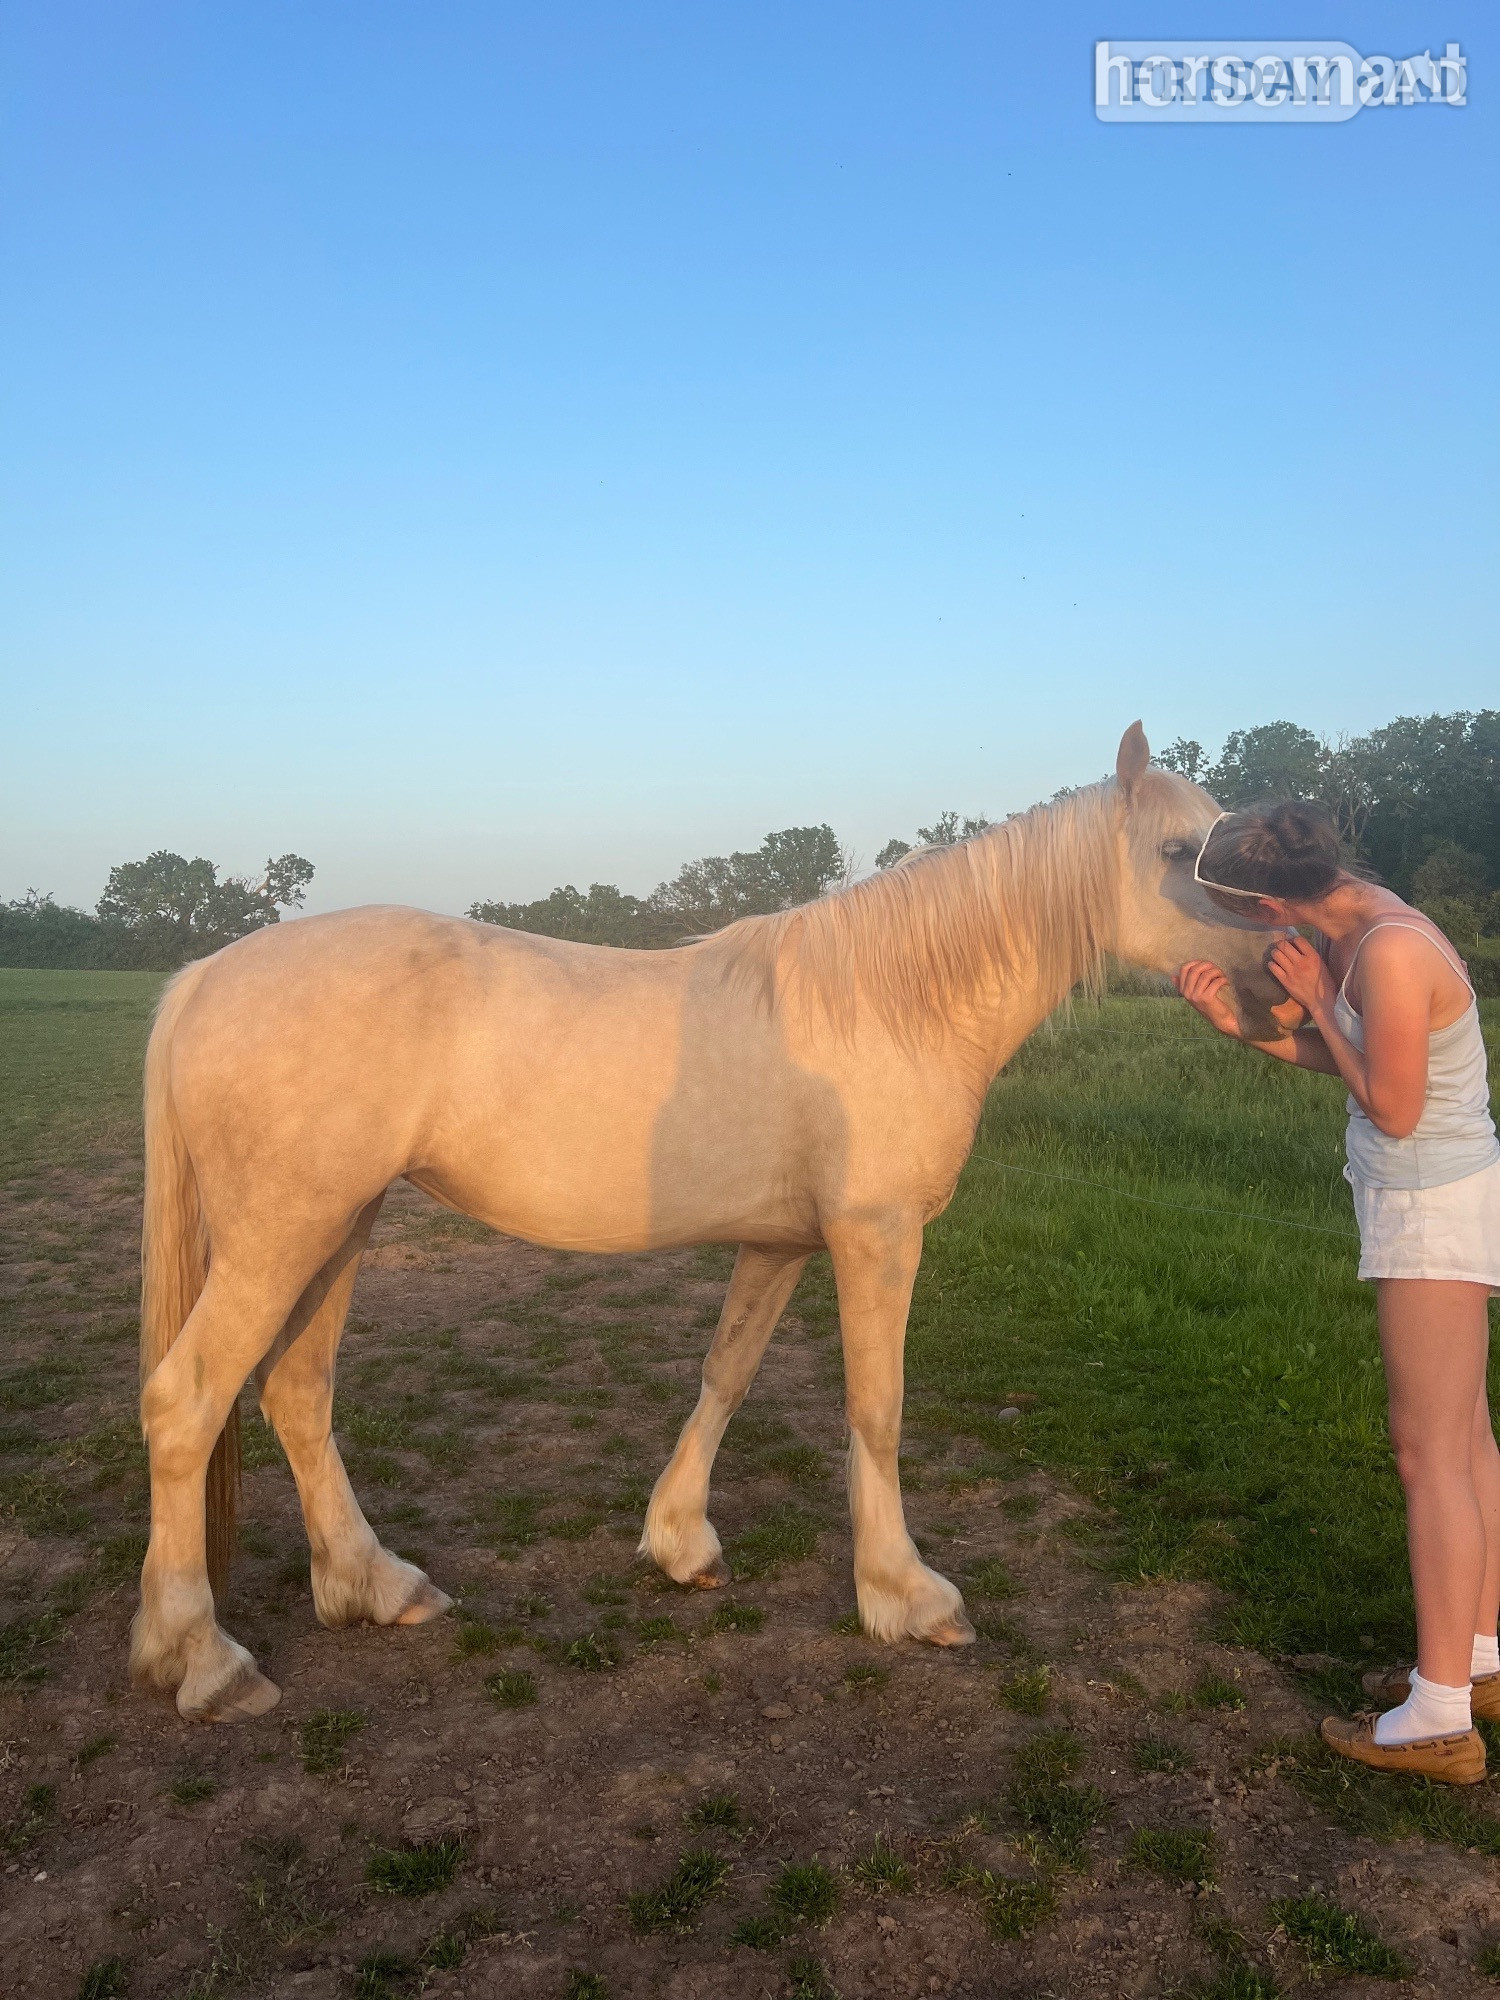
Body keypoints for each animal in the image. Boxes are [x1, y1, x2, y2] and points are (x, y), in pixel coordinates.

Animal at [129, 724, 1290, 1720]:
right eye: (1179, 851)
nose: (1282, 979)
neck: (894, 1004)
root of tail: (204, 977)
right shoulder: (876, 1237)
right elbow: (876, 1408)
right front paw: (905, 1595)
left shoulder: (780, 1244)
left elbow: (726, 1375)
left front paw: (681, 1542)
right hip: (284, 1235)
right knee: (187, 1402)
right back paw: (204, 1657)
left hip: (339, 1226)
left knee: (296, 1392)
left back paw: (373, 1586)